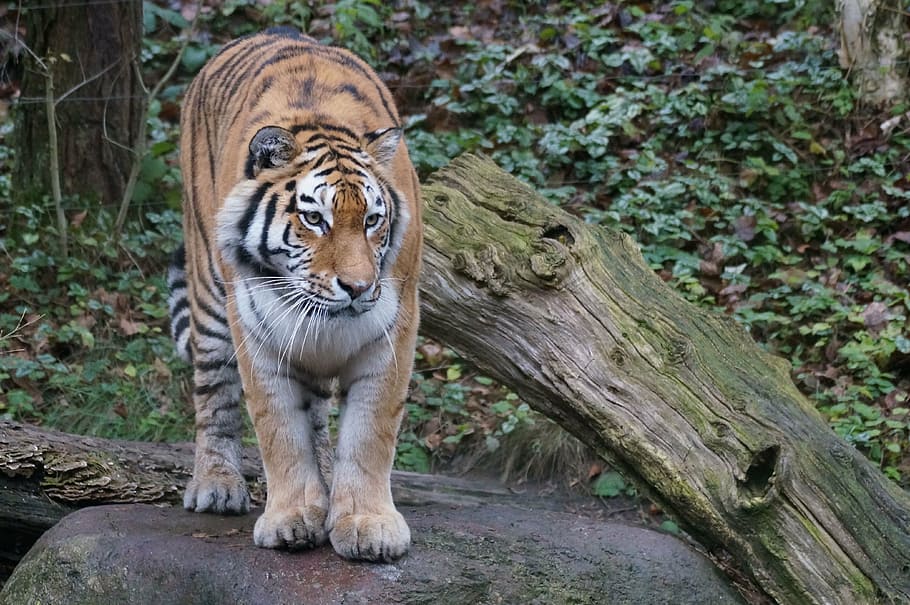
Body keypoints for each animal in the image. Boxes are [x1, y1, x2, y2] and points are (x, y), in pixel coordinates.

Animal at [167, 27, 422, 562]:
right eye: (314, 218)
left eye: (373, 219)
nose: (358, 287)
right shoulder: (255, 333)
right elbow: (279, 429)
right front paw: (291, 519)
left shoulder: (393, 330)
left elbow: (369, 432)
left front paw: (367, 525)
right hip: (208, 296)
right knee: (213, 396)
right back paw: (216, 485)